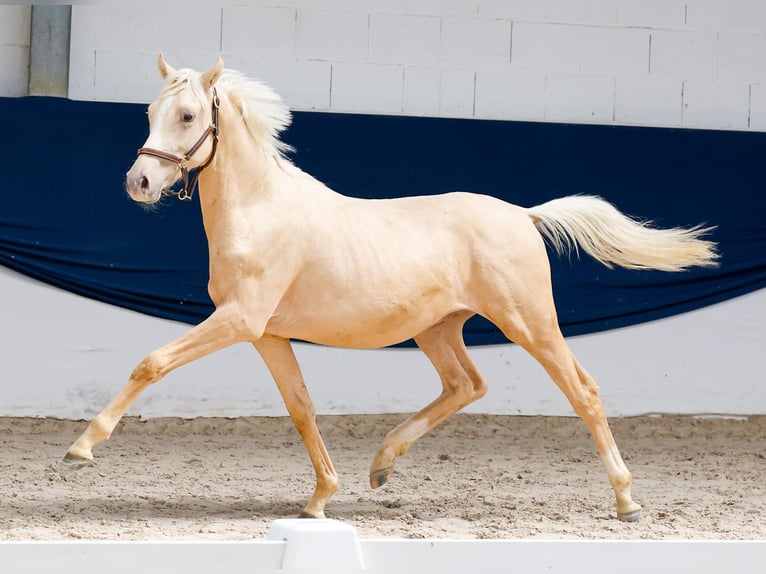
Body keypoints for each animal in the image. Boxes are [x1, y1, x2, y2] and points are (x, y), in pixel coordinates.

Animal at [65, 55, 718, 523]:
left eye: (188, 117)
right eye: (150, 111)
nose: (139, 182)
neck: (262, 211)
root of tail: (522, 215)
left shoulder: (239, 320)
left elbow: (152, 363)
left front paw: (82, 448)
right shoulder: (265, 333)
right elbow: (301, 407)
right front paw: (321, 498)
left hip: (529, 322)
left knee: (582, 391)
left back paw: (627, 501)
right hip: (438, 329)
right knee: (467, 385)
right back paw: (381, 466)